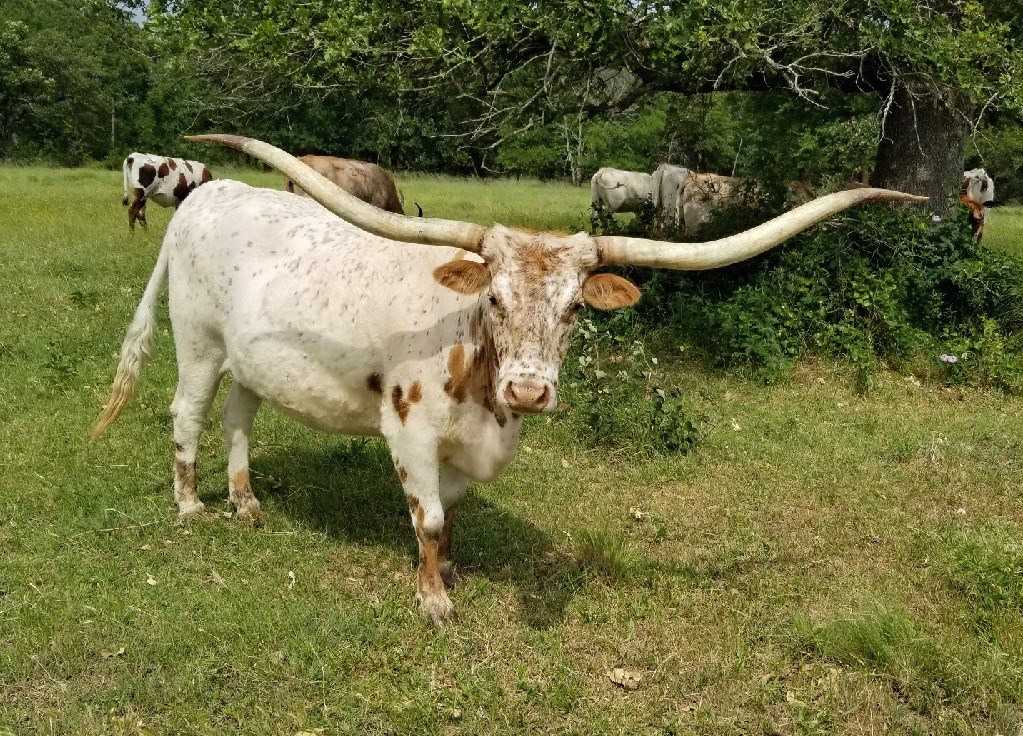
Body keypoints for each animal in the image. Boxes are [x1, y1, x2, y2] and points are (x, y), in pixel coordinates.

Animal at [93, 134, 924, 624]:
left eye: (574, 310)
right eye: (493, 297)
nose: (529, 391)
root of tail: (212, 194)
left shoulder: (466, 451)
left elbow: (451, 518)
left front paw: (450, 573)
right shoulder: (409, 434)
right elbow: (426, 517)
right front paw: (432, 601)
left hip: (254, 362)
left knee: (238, 417)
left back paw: (246, 503)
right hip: (197, 342)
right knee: (186, 415)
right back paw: (192, 505)